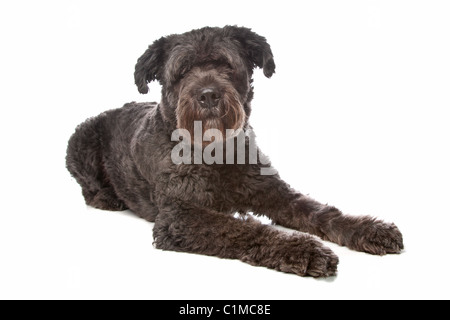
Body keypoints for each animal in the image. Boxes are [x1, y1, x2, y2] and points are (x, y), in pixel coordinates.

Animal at [65, 26, 402, 278]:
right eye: (183, 71)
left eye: (226, 65)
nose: (208, 95)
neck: (217, 153)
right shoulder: (180, 215)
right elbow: (240, 228)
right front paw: (302, 249)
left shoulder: (272, 190)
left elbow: (318, 210)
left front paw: (367, 228)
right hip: (79, 139)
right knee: (86, 186)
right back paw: (107, 198)